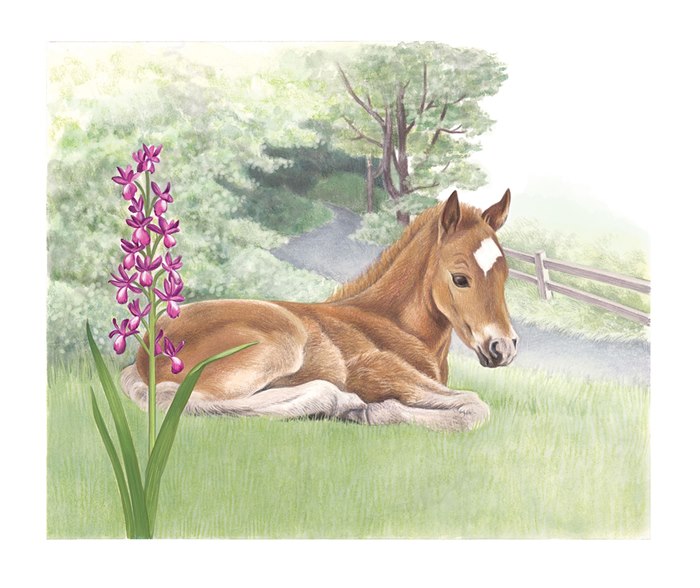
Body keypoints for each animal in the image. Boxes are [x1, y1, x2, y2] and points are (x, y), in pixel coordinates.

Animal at [120, 189, 518, 431]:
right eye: (460, 278)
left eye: (505, 274)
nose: (504, 348)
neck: (393, 324)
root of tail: (145, 349)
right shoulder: (374, 370)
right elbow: (474, 405)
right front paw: (373, 410)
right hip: (282, 343)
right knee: (176, 398)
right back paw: (341, 403)